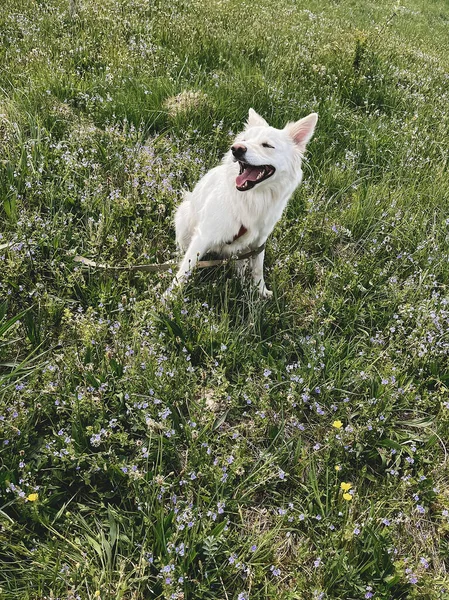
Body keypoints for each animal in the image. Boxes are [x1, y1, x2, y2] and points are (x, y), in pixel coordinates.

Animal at [168, 108, 316, 298]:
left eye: (267, 145)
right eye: (244, 140)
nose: (236, 149)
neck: (253, 197)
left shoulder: (259, 240)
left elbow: (258, 268)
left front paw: (260, 290)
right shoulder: (203, 236)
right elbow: (184, 269)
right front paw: (168, 299)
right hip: (184, 214)